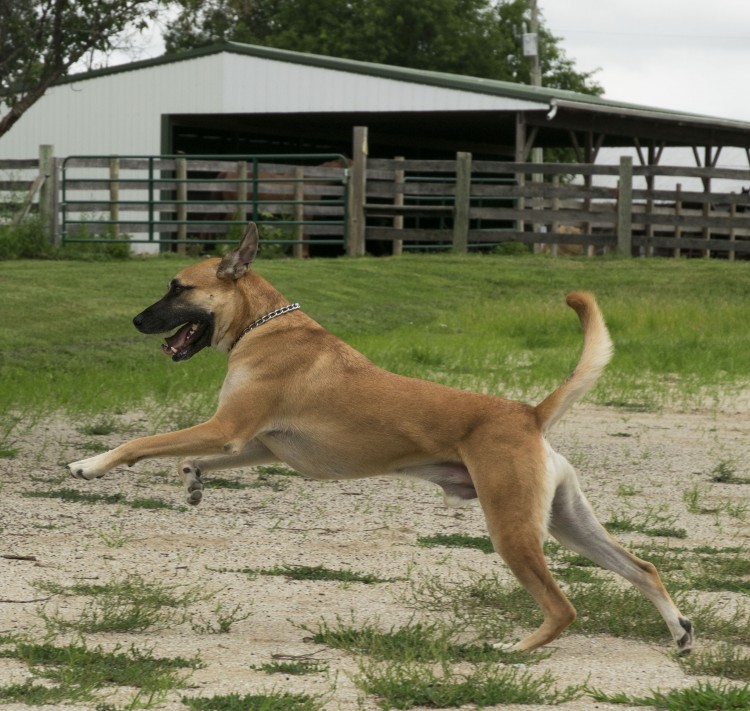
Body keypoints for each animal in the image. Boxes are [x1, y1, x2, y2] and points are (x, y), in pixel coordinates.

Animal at [67, 224, 696, 656]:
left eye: (178, 288)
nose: (134, 321)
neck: (265, 326)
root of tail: (527, 413)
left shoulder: (227, 430)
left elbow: (142, 442)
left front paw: (90, 463)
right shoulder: (255, 444)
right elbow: (192, 459)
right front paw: (193, 480)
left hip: (512, 529)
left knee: (563, 608)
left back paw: (514, 649)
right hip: (567, 522)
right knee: (643, 568)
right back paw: (680, 632)